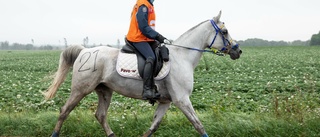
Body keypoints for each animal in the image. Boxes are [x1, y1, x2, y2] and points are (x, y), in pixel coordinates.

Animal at [43, 11, 241, 136]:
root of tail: (84, 51)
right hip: (81, 89)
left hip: (105, 90)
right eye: (224, 31)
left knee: (100, 115)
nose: (238, 51)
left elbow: (154, 126)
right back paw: (55, 133)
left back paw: (112, 134)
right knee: (64, 111)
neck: (182, 56)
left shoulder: (166, 101)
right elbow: (198, 125)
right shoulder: (182, 100)